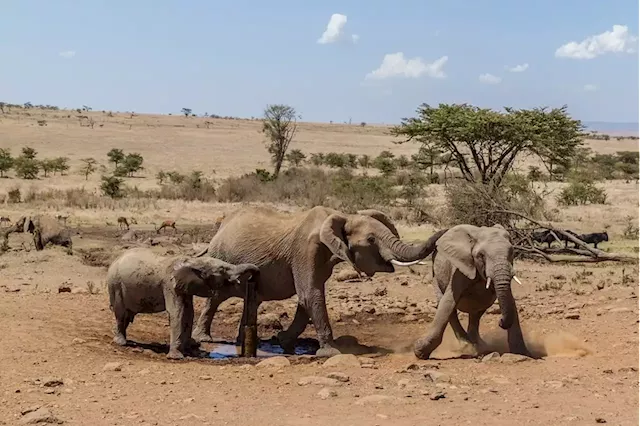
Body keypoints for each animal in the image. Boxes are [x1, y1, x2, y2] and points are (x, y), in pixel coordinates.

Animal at [107, 246, 260, 360]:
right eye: (222, 269)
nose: (252, 278)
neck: (193, 261)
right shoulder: (170, 285)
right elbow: (178, 312)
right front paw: (177, 357)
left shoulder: (185, 287)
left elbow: (188, 313)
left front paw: (192, 350)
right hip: (115, 285)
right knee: (121, 314)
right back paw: (121, 342)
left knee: (127, 315)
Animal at [192, 206, 448, 356]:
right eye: (371, 239)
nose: (443, 233)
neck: (342, 216)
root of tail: (220, 227)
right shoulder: (305, 250)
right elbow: (310, 294)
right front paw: (332, 353)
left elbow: (306, 300)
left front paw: (283, 341)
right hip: (221, 257)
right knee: (216, 297)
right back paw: (203, 338)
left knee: (252, 299)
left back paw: (239, 341)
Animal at [412, 223, 532, 360]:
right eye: (481, 255)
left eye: (512, 252)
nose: (500, 321)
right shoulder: (459, 269)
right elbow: (448, 302)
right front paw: (419, 352)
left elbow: (510, 301)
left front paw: (523, 353)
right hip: (435, 274)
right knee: (448, 307)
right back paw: (468, 346)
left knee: (477, 313)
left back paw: (478, 345)